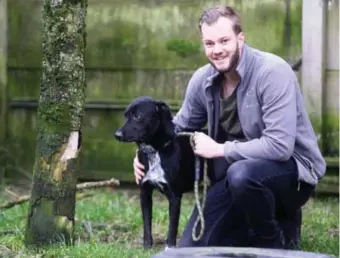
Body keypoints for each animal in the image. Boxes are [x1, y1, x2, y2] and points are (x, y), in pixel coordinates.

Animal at [115, 95, 203, 249]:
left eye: (138, 116)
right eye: (126, 115)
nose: (117, 135)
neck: (154, 151)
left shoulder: (175, 197)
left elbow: (172, 226)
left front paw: (169, 248)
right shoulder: (144, 193)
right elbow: (146, 223)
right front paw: (147, 247)